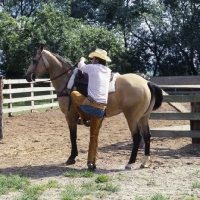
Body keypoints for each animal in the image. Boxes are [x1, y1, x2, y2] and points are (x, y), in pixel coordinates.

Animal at [25, 46, 162, 170]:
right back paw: (144, 162)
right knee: (147, 136)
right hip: (143, 118)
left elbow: (72, 136)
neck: (67, 81)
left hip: (132, 118)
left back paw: (130, 163)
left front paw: (72, 157)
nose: (27, 76)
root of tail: (146, 82)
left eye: (34, 60)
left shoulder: (70, 116)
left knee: (137, 137)